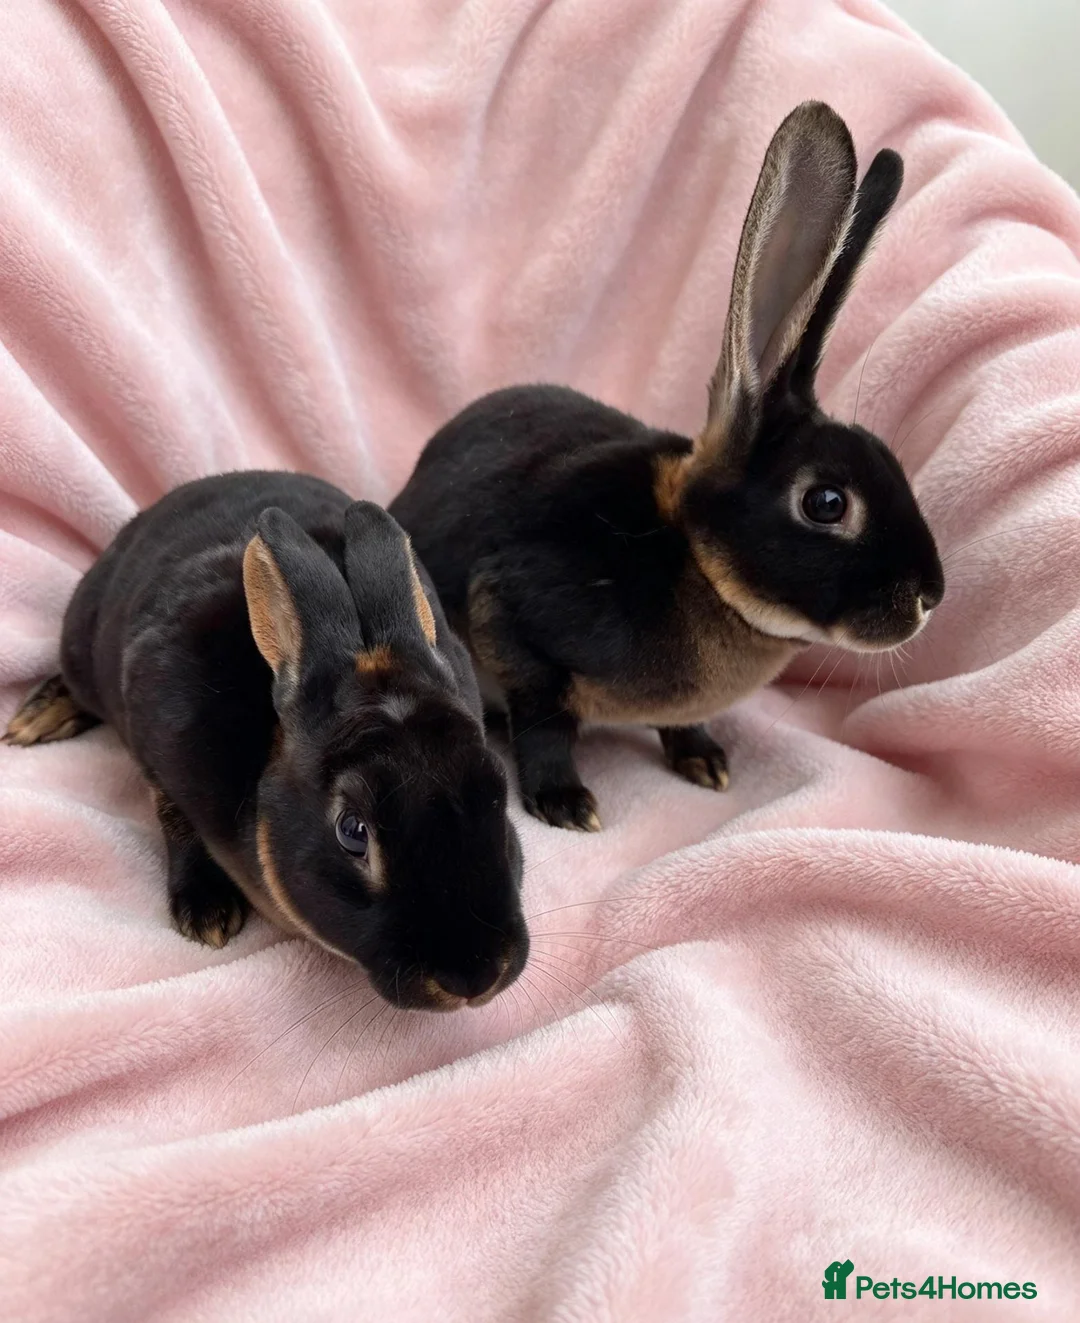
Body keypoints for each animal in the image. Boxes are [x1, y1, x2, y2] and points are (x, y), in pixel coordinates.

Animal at [4, 472, 529, 1010]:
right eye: (352, 831)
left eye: (498, 791)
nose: (475, 978)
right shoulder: (154, 740)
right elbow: (174, 820)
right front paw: (207, 914)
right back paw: (35, 720)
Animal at [390, 101, 944, 832]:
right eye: (826, 502)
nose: (930, 595)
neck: (694, 557)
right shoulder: (513, 611)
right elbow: (544, 721)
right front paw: (565, 803)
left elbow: (683, 725)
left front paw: (705, 762)